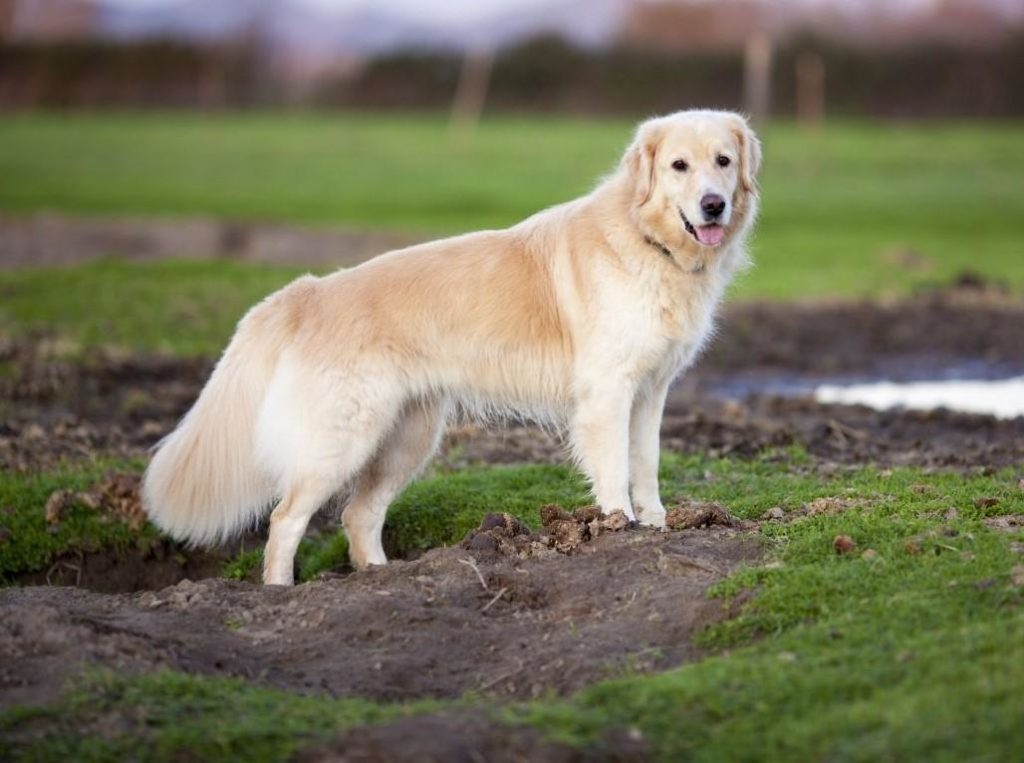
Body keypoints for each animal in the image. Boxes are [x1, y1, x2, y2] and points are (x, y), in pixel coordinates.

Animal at [148, 110, 765, 581]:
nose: (713, 204)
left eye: (723, 161)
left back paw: (380, 579)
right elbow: (614, 468)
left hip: (407, 439)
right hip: (341, 440)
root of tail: (307, 291)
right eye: (678, 167)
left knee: (358, 515)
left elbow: (647, 462)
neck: (647, 241)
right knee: (286, 519)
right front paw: (620, 528)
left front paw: (655, 524)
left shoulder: (651, 391)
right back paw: (281, 592)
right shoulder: (608, 393)